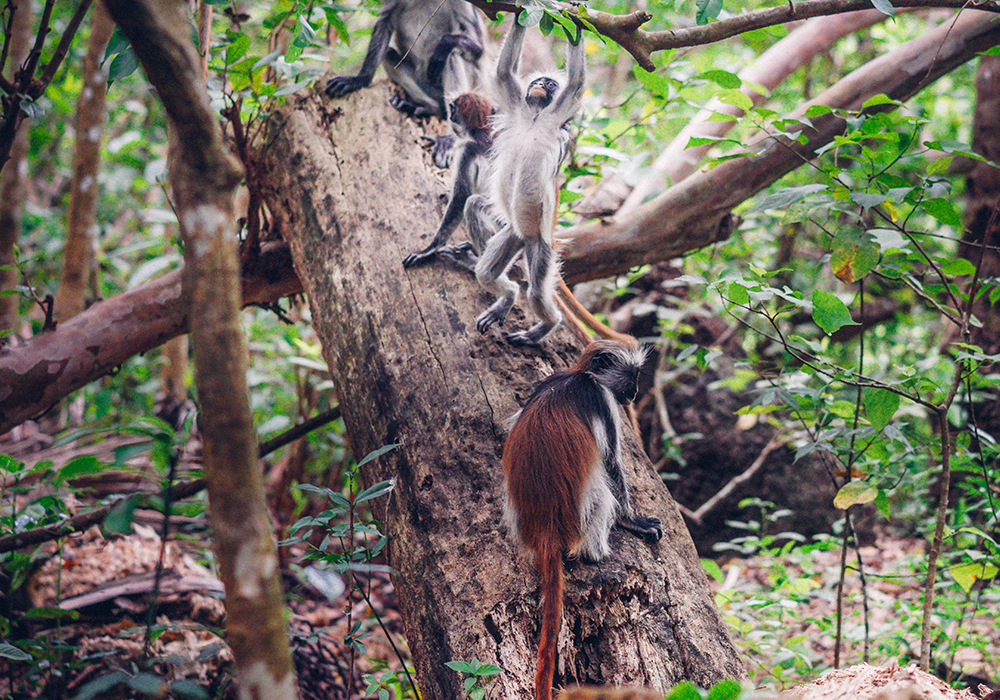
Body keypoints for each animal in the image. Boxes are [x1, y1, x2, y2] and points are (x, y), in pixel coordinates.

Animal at [324, 0, 484, 167]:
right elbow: (385, 22)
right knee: (388, 54)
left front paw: (445, 43)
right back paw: (428, 108)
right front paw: (359, 80)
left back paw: (450, 137)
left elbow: (477, 45)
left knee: (451, 55)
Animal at [476, 15, 584, 344]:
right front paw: (521, 11)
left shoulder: (560, 109)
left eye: (549, 84)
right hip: (512, 235)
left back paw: (548, 324)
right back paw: (508, 297)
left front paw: (578, 15)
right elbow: (502, 71)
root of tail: (526, 238)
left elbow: (576, 82)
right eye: (536, 83)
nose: (538, 85)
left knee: (537, 291)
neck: (536, 115)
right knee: (485, 273)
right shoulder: (516, 103)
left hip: (541, 246)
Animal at [504, 340, 660, 700]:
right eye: (632, 375)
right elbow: (611, 462)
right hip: (581, 518)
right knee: (602, 493)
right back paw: (595, 552)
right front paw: (633, 521)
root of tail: (546, 527)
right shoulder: (600, 399)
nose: (634, 393)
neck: (579, 375)